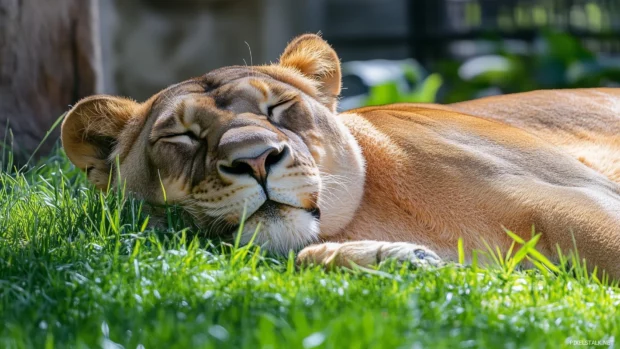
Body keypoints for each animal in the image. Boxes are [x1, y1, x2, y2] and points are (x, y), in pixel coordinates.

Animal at [61, 34, 620, 278]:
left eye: (277, 107)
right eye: (181, 135)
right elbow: (303, 254)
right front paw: (400, 258)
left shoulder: (575, 196)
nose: (256, 160)